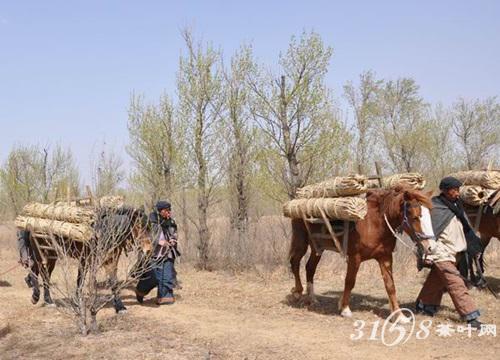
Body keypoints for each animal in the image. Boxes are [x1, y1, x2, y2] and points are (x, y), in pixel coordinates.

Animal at [290, 187, 434, 320]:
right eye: (415, 217)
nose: (430, 247)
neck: (374, 224)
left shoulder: (385, 257)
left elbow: (390, 285)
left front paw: (399, 316)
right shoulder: (355, 257)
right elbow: (350, 281)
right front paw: (345, 309)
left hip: (318, 247)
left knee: (310, 267)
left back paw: (312, 298)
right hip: (301, 242)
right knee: (295, 262)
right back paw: (297, 292)